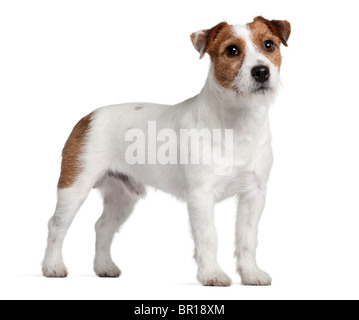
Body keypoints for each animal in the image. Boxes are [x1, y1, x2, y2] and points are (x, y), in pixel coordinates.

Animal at [43, 16, 290, 286]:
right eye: (232, 50)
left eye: (269, 45)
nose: (261, 71)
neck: (238, 123)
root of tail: (88, 117)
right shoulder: (201, 197)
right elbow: (208, 238)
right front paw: (212, 275)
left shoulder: (253, 195)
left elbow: (247, 238)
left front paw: (251, 273)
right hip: (74, 188)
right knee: (56, 225)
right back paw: (52, 266)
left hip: (122, 198)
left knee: (102, 227)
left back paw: (104, 266)